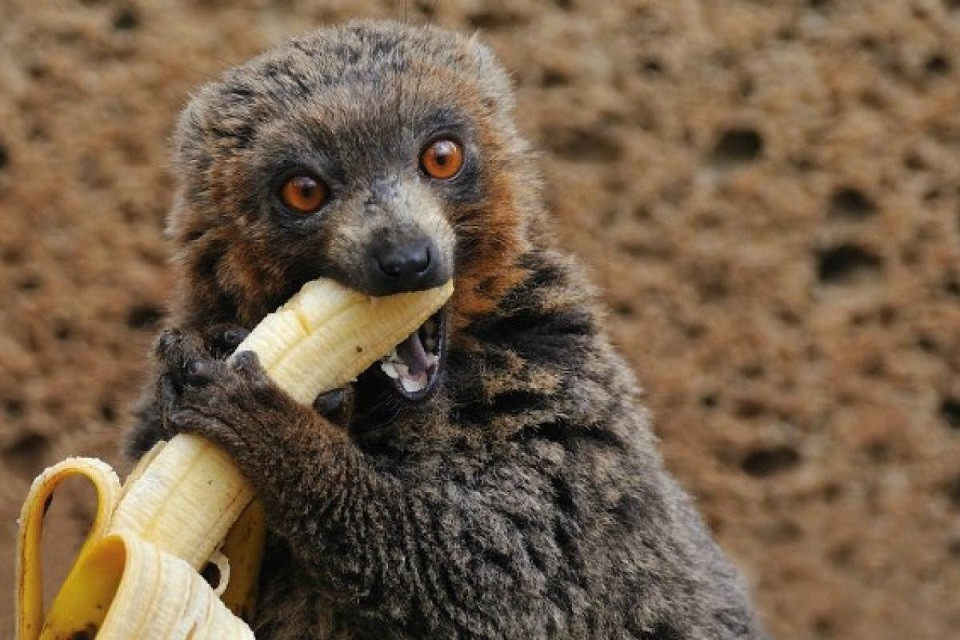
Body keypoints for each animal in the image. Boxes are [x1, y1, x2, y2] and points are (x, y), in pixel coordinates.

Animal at [126, 20, 766, 639]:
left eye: (441, 158)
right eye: (304, 190)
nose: (407, 259)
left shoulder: (569, 407)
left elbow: (508, 579)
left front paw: (274, 431)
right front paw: (208, 364)